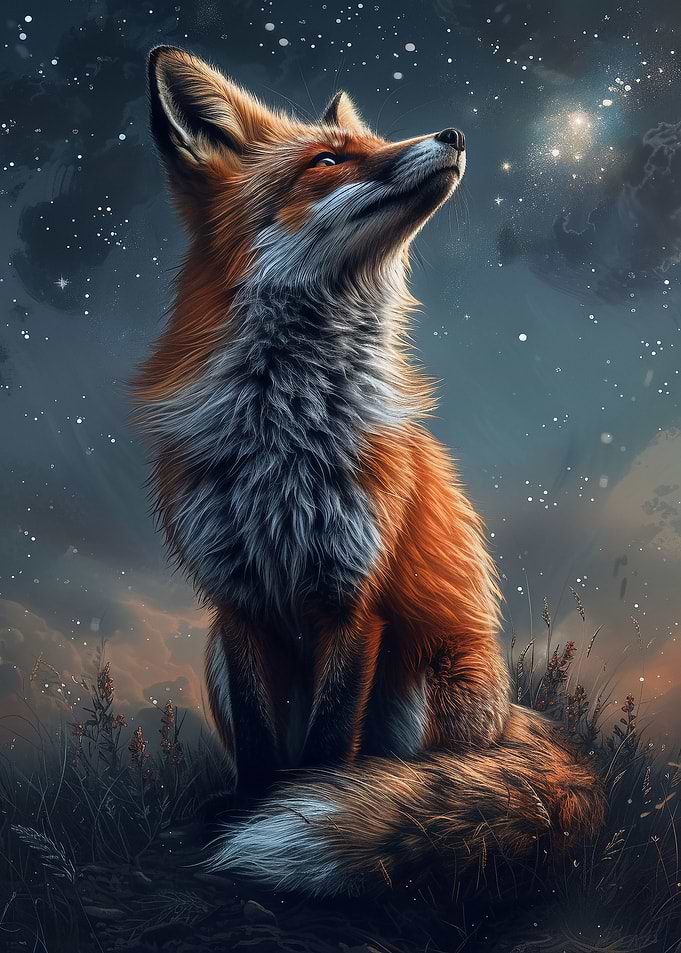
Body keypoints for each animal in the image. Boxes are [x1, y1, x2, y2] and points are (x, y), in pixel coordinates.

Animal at [132, 45, 605, 897]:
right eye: (328, 160)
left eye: (376, 140)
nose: (452, 133)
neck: (283, 433)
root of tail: (511, 715)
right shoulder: (237, 603)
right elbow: (262, 749)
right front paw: (250, 815)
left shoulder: (354, 596)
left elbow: (326, 753)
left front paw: (307, 815)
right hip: (214, 652)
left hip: (423, 681)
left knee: (417, 768)